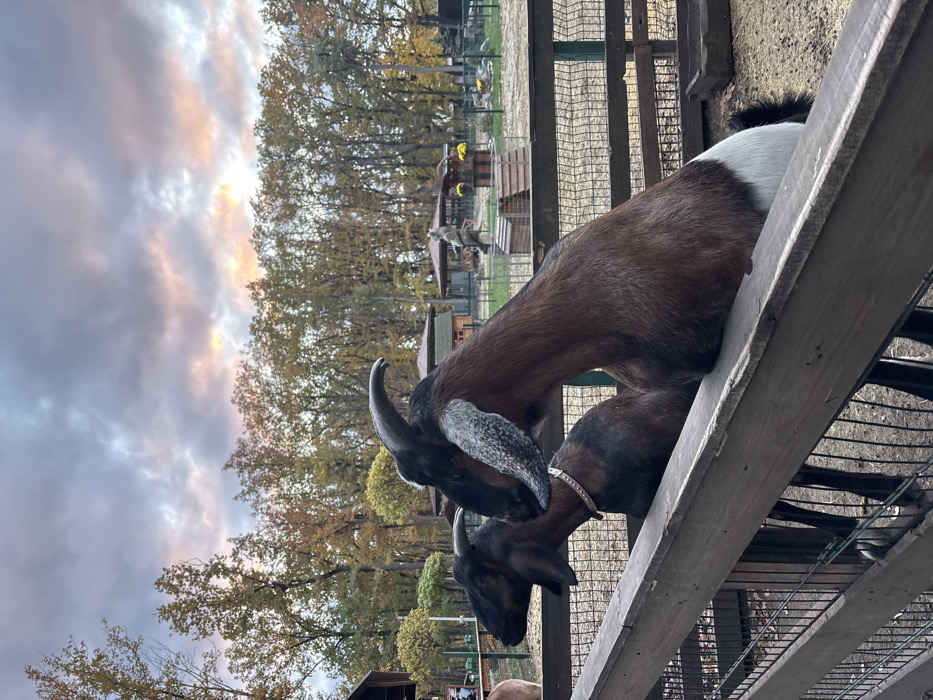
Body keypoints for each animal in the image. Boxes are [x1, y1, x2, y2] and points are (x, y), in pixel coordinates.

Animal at [452, 383, 924, 646]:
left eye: (479, 579)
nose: (505, 637)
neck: (592, 469)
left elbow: (794, 499)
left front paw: (868, 531)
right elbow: (805, 482)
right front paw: (895, 496)